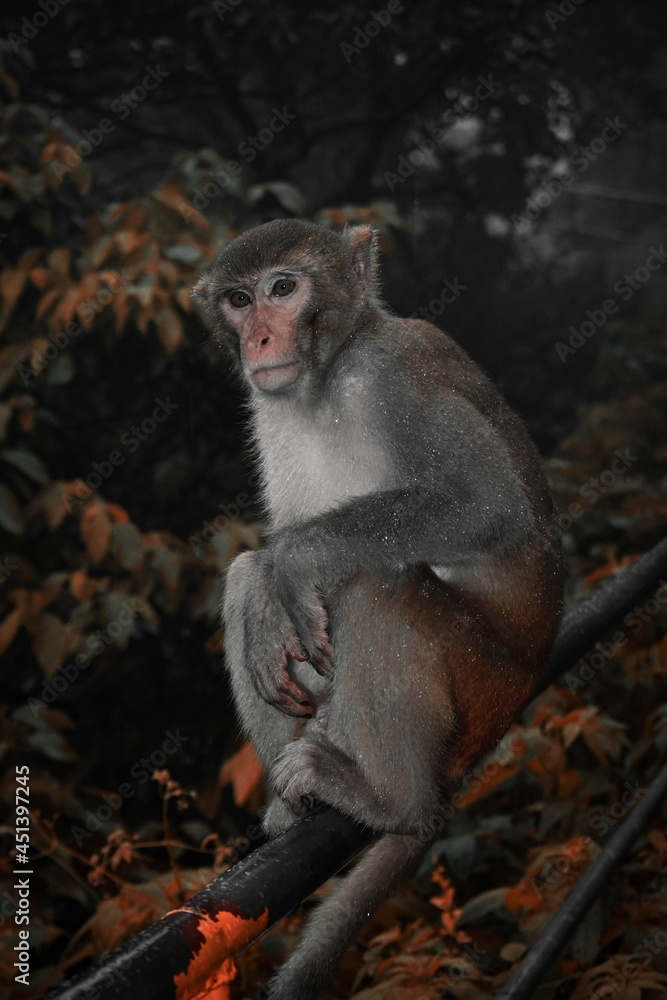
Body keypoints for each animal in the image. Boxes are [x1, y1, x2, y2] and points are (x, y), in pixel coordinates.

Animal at [193, 219, 563, 999]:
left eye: (283, 288)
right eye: (239, 299)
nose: (259, 339)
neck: (325, 379)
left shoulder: (392, 375)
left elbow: (488, 506)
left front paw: (291, 559)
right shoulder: (270, 411)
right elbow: (268, 583)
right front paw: (272, 582)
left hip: (479, 679)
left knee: (376, 586)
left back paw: (395, 805)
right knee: (249, 584)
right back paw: (299, 801)